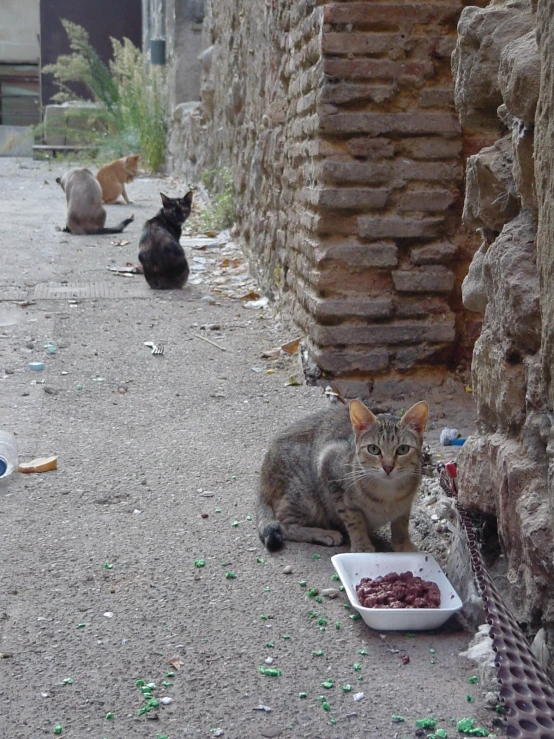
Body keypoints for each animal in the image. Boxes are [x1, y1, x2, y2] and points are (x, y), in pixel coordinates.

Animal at [254, 398, 426, 556]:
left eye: (403, 449)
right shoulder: (328, 466)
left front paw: (403, 544)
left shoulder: (406, 504)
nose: (388, 467)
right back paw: (324, 534)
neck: (388, 493)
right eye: (373, 449)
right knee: (284, 525)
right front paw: (361, 545)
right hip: (305, 495)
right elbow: (354, 520)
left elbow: (401, 522)